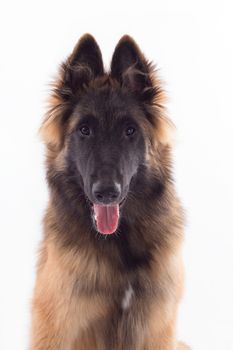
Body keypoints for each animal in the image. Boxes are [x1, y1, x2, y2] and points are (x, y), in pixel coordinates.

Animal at [29, 33, 189, 350]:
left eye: (129, 131)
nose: (106, 193)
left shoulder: (157, 327)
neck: (119, 245)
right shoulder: (57, 326)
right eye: (85, 130)